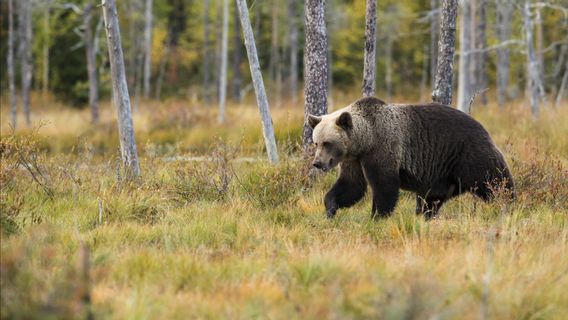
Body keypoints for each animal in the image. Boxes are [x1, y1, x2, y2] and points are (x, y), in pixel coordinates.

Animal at [308, 96, 516, 219]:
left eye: (327, 143)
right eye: (316, 142)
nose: (317, 163)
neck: (365, 141)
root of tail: (483, 127)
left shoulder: (383, 149)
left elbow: (384, 186)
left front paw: (377, 216)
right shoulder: (354, 160)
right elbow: (352, 186)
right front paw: (330, 208)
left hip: (469, 155)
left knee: (495, 181)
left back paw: (507, 204)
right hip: (441, 174)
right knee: (430, 199)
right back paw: (425, 216)